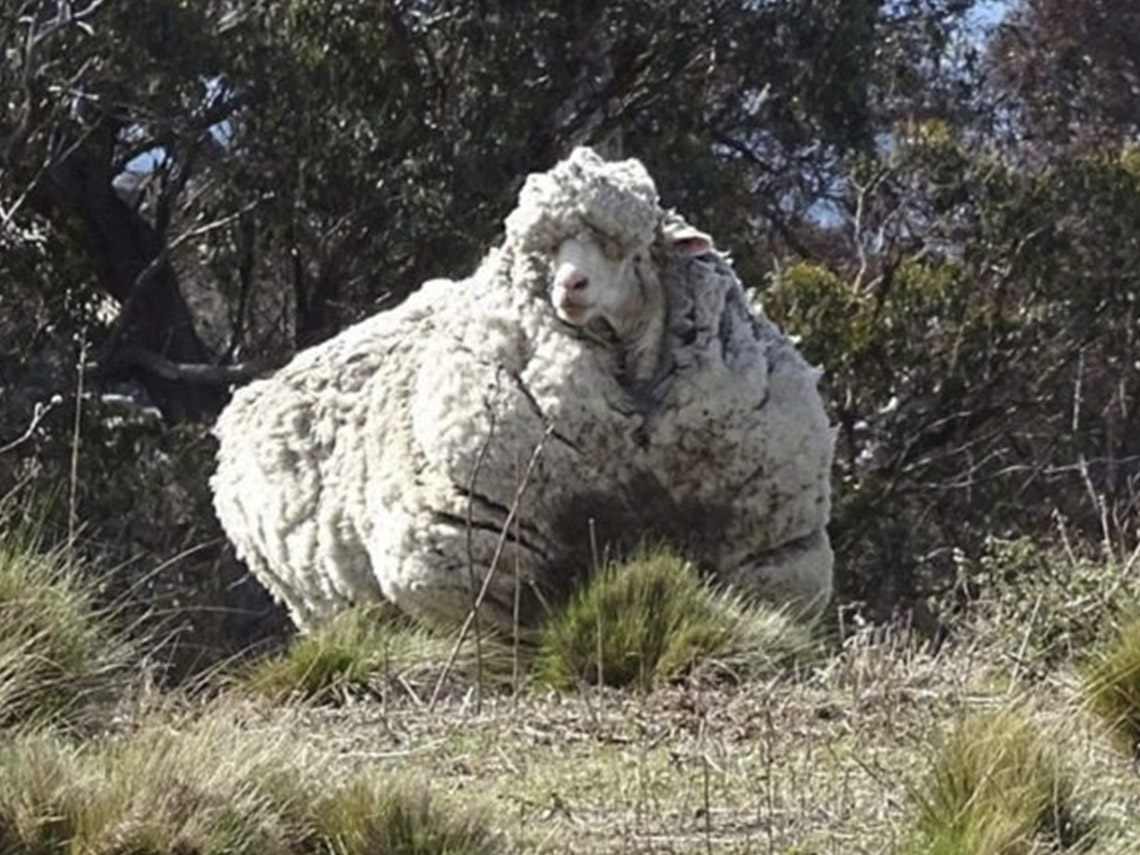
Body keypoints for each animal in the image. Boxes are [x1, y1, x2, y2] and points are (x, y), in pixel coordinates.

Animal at [212, 147, 839, 633]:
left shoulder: (767, 552)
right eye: (545, 252)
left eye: (626, 248)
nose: (570, 286)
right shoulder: (478, 561)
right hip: (324, 603)